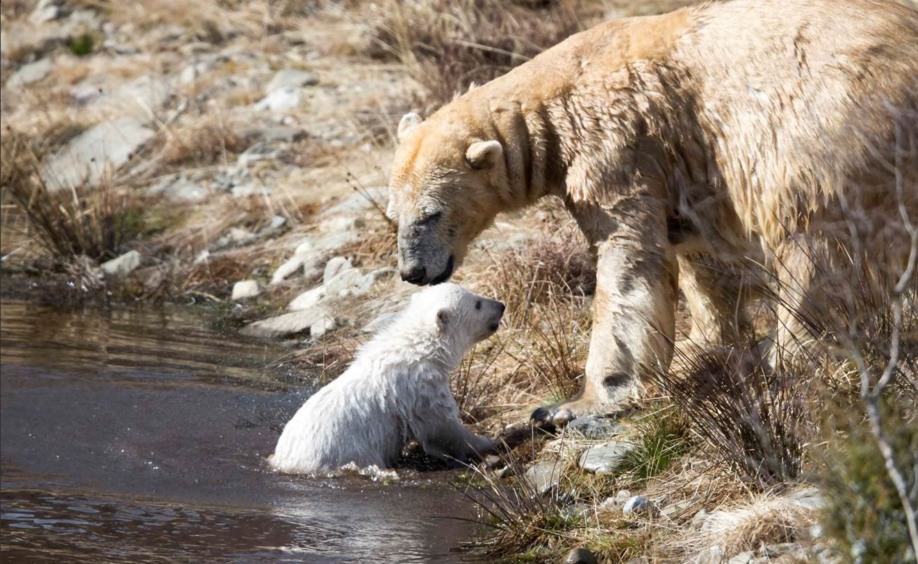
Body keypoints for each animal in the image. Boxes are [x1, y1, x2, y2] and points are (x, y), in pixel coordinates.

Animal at [386, 0, 918, 426]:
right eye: (394, 214)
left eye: (432, 213)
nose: (413, 271)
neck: (556, 97)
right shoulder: (686, 161)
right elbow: (700, 256)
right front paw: (698, 348)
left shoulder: (614, 146)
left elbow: (628, 260)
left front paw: (574, 404)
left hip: (833, 119)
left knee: (811, 236)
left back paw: (790, 352)